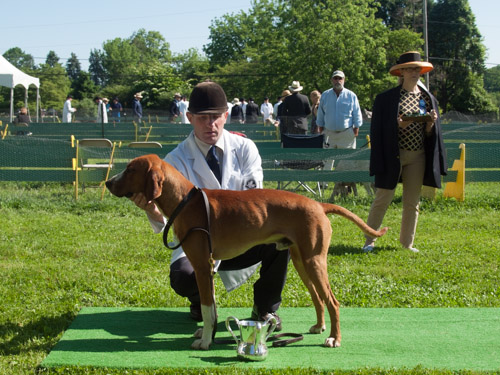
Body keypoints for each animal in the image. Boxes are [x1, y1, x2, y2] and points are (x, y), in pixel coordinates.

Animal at [104, 154, 386, 352]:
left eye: (130, 169)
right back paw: (319, 326)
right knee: (319, 298)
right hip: (302, 261)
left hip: (314, 261)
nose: (107, 182)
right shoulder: (206, 268)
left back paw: (334, 338)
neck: (185, 201)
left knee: (333, 301)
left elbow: (207, 307)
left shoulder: (201, 265)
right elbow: (211, 307)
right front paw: (207, 334)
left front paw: (205, 342)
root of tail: (318, 203)